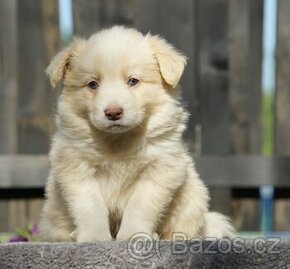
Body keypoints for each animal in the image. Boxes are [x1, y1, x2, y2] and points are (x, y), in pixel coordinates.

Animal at [40, 25, 236, 241]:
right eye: (92, 84)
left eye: (133, 81)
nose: (113, 113)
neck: (117, 141)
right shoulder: (77, 167)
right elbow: (91, 208)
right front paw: (95, 238)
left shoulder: (159, 168)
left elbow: (139, 206)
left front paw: (132, 235)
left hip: (193, 199)